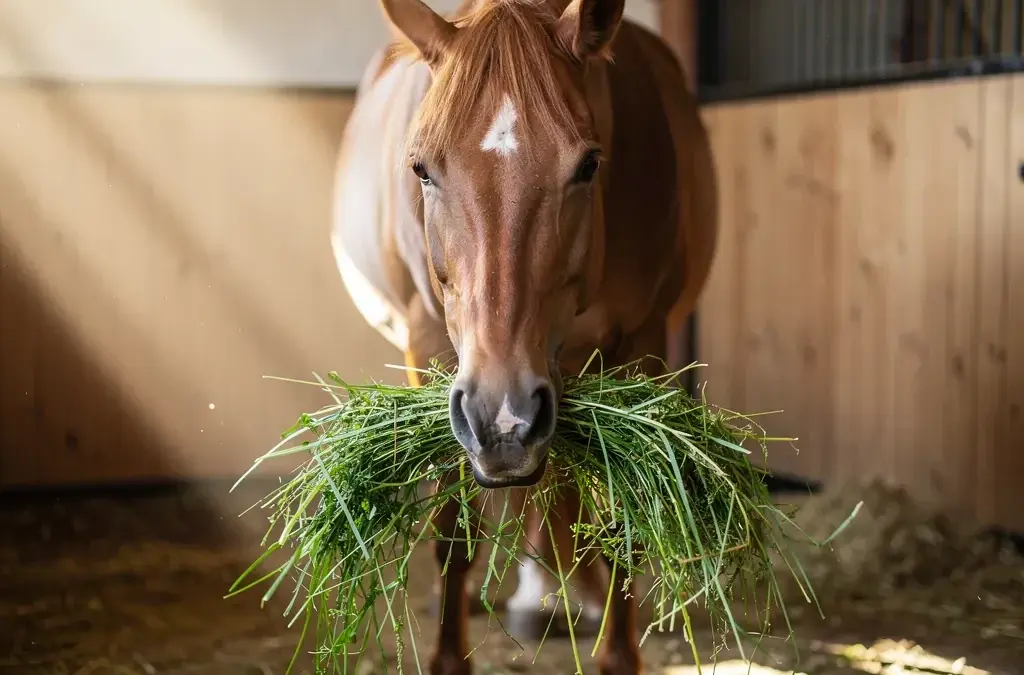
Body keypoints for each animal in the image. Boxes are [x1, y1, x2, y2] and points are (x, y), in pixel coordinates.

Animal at [330, 1, 718, 672]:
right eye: (421, 169)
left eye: (588, 164)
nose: (502, 417)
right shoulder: (436, 353)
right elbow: (455, 531)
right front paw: (450, 655)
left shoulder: (640, 347)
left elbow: (621, 526)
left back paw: (556, 596)